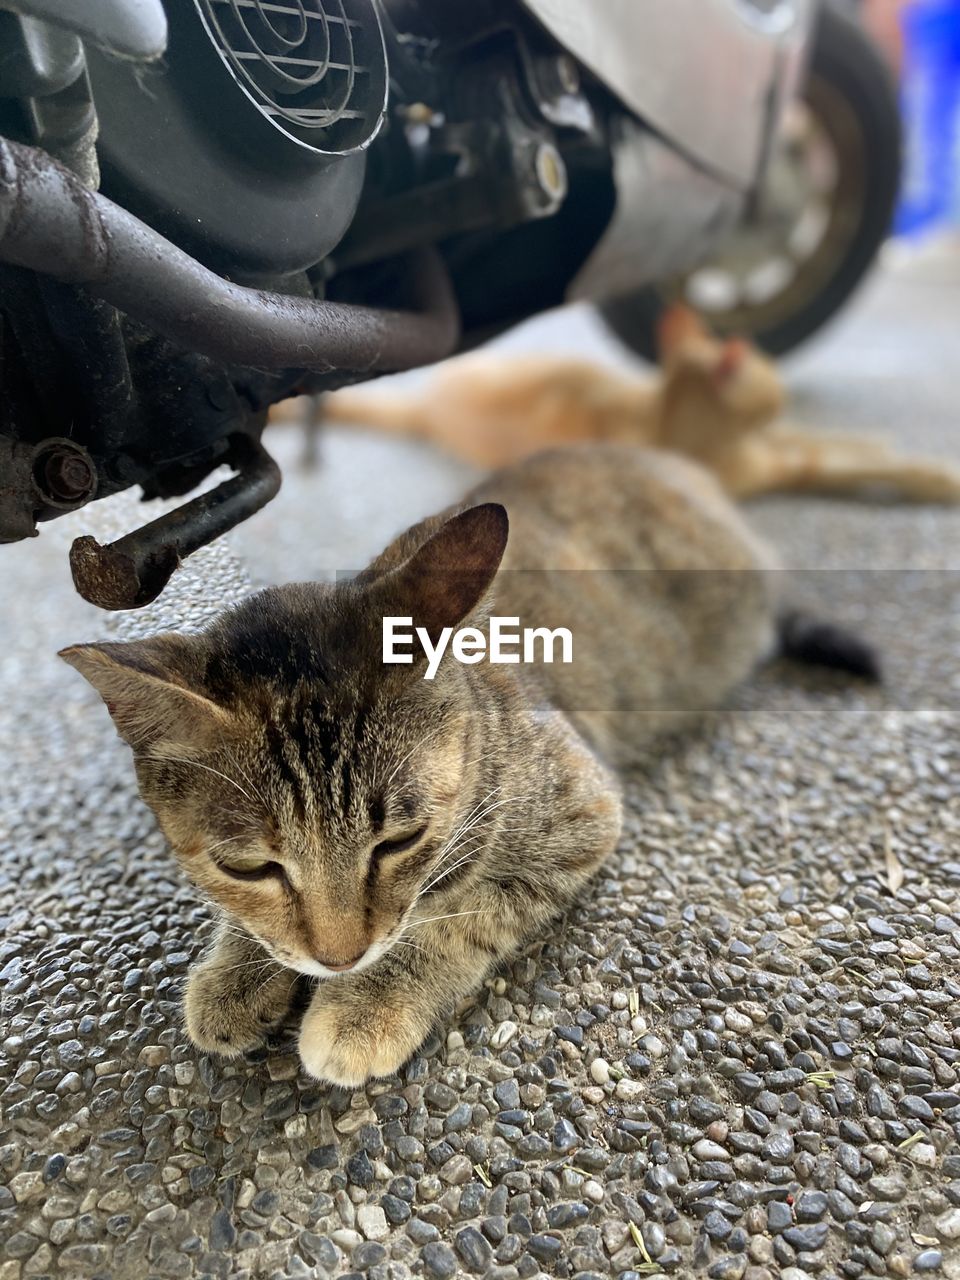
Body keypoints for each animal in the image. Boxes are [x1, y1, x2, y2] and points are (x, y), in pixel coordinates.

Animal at [62, 445, 880, 1085]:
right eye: (249, 866)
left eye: (398, 841)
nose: (339, 959)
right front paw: (240, 972)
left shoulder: (582, 812)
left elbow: (453, 918)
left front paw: (364, 1003)